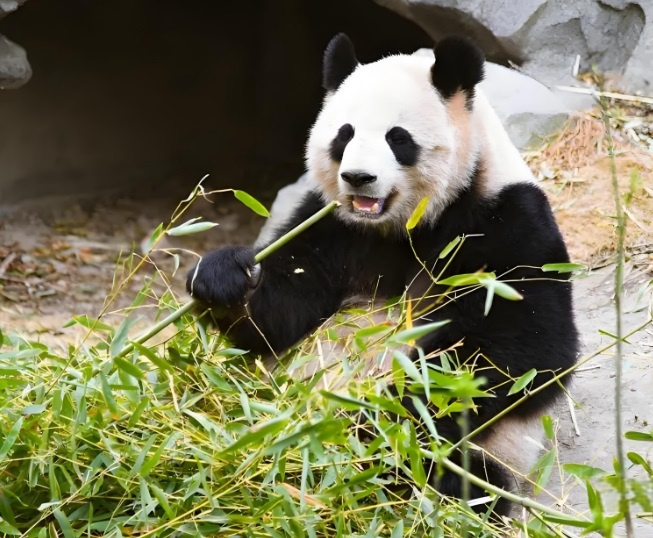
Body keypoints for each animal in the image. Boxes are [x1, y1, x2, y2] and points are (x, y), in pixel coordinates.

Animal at [186, 33, 580, 516]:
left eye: (398, 138)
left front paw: (375, 421)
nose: (358, 177)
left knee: (455, 479)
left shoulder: (510, 219)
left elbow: (515, 347)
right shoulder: (332, 225)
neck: (402, 224)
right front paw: (226, 277)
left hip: (494, 454)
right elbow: (281, 310)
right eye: (344, 134)